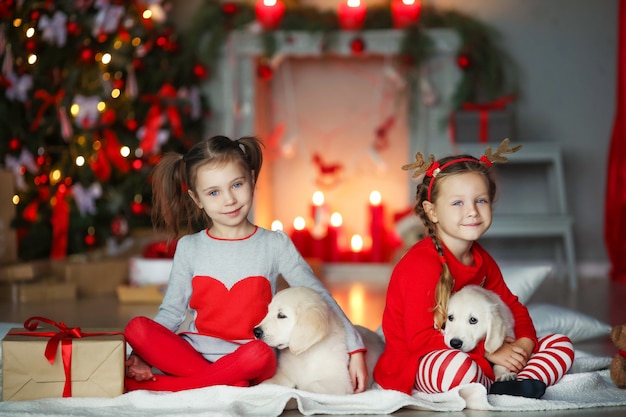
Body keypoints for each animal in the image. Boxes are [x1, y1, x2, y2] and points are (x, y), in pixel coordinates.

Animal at [252, 286, 380, 394]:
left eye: (281, 315)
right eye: (268, 312)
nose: (256, 331)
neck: (307, 354)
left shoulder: (340, 383)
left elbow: (312, 385)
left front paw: (299, 387)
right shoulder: (284, 373)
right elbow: (272, 382)